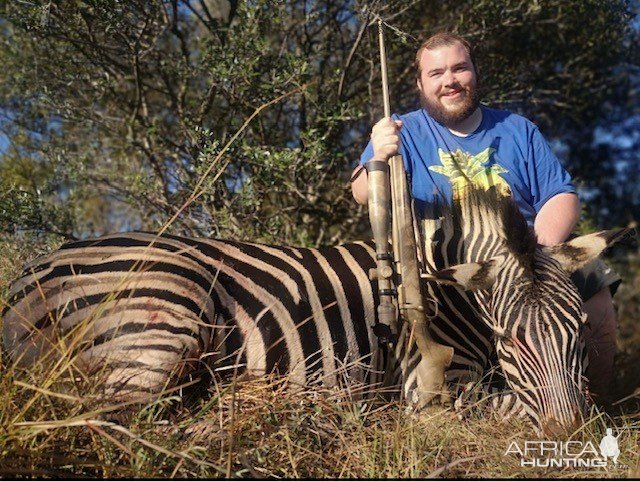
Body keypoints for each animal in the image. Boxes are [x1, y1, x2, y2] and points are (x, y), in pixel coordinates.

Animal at [0, 186, 632, 434]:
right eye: (510, 339)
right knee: (113, 421)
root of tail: (31, 274)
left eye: (579, 331)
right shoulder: (431, 386)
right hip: (167, 315)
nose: (569, 434)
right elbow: (510, 408)